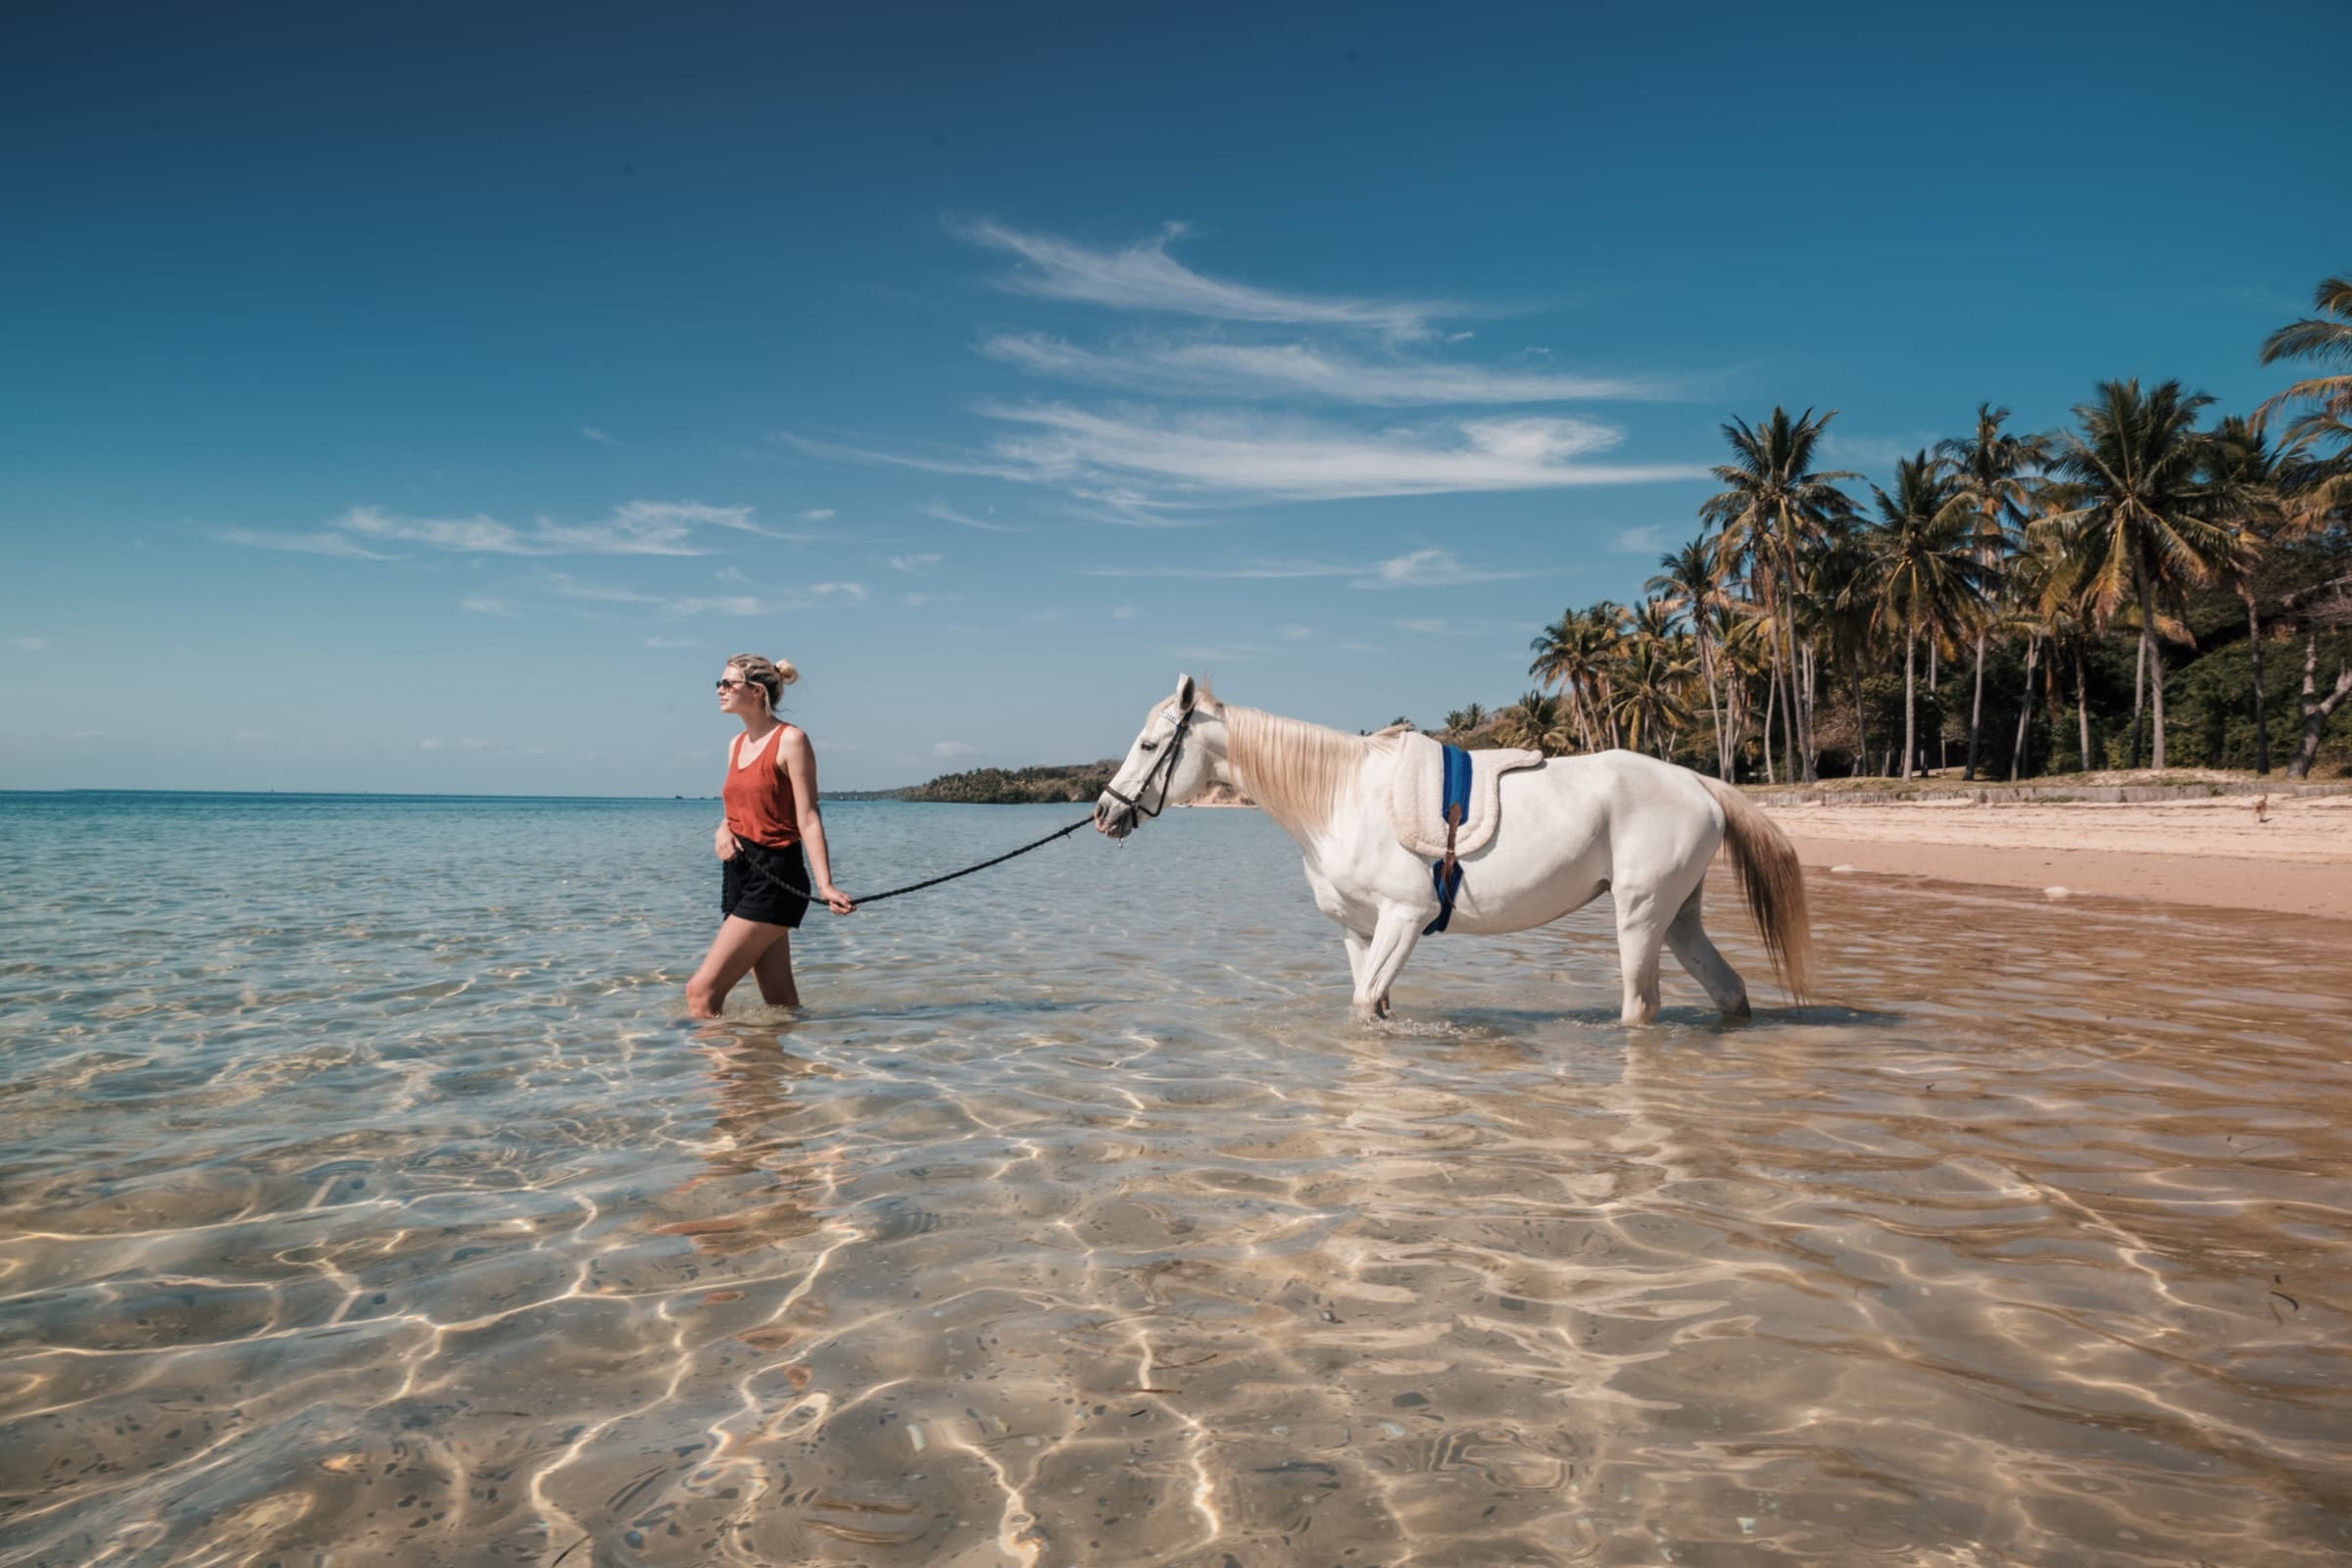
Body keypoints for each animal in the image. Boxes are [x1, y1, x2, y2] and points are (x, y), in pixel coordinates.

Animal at [1094, 675, 1812, 1026]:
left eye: (1151, 746)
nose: (1103, 812)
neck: (1339, 797)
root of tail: (1697, 781)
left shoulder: (1404, 919)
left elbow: (1365, 1005)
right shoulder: (1359, 931)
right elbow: (1372, 1006)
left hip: (1640, 913)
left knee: (1641, 1007)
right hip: (1678, 917)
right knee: (1729, 991)